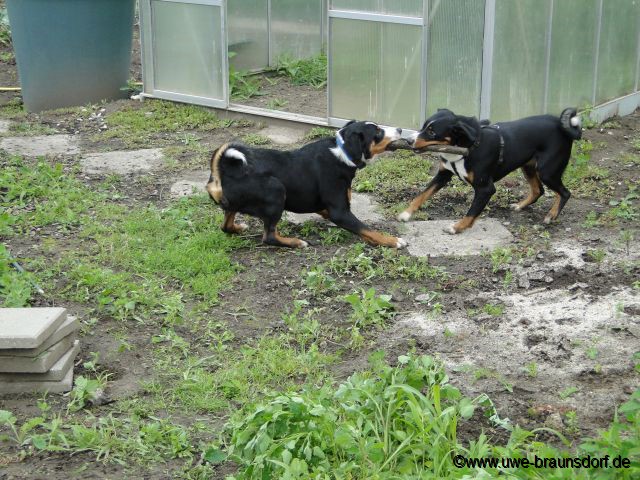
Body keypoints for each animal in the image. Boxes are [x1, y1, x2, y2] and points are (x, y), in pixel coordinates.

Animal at [206, 120, 404, 249]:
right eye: (378, 132)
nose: (401, 129)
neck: (342, 153)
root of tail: (225, 171)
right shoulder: (340, 212)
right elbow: (367, 229)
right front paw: (392, 241)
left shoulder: (325, 207)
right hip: (276, 191)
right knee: (269, 237)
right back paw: (296, 242)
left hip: (234, 206)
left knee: (226, 226)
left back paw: (239, 228)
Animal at [400, 107, 584, 234]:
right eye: (424, 126)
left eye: (432, 132)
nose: (408, 140)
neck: (466, 146)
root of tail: (561, 125)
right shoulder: (443, 175)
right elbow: (422, 195)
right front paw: (406, 214)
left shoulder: (485, 189)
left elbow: (471, 212)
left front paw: (457, 227)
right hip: (529, 167)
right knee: (538, 190)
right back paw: (520, 206)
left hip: (547, 171)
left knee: (564, 193)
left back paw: (551, 215)